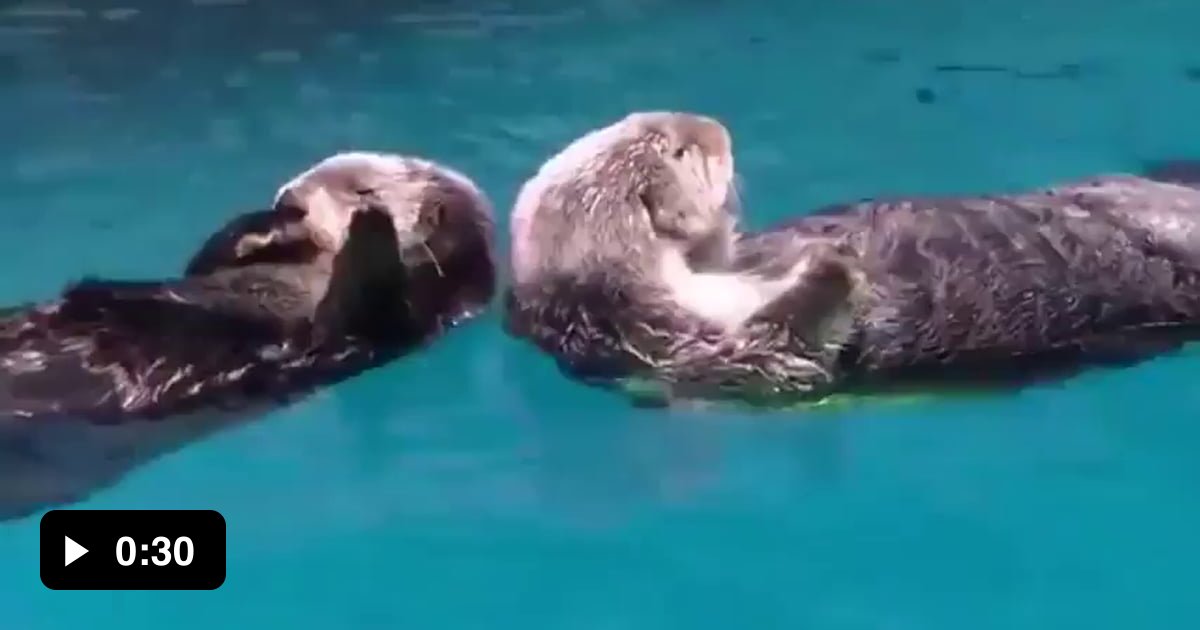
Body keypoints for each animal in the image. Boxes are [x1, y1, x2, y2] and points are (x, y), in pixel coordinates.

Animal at [0, 151, 496, 520]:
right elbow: (206, 261)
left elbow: (349, 318)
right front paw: (263, 227)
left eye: (362, 188)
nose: (289, 200)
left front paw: (371, 226)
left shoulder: (388, 327)